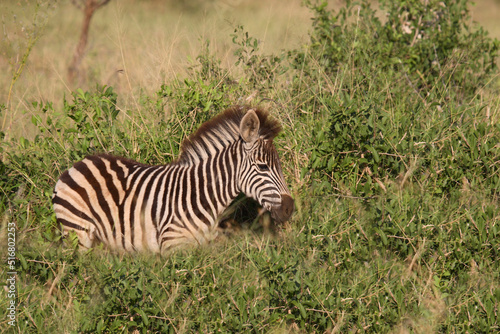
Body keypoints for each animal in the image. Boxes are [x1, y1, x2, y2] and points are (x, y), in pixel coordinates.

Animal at [52, 105, 294, 254]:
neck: (204, 197)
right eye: (262, 167)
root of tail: (78, 163)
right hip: (78, 233)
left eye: (279, 166)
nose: (289, 208)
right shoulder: (174, 246)